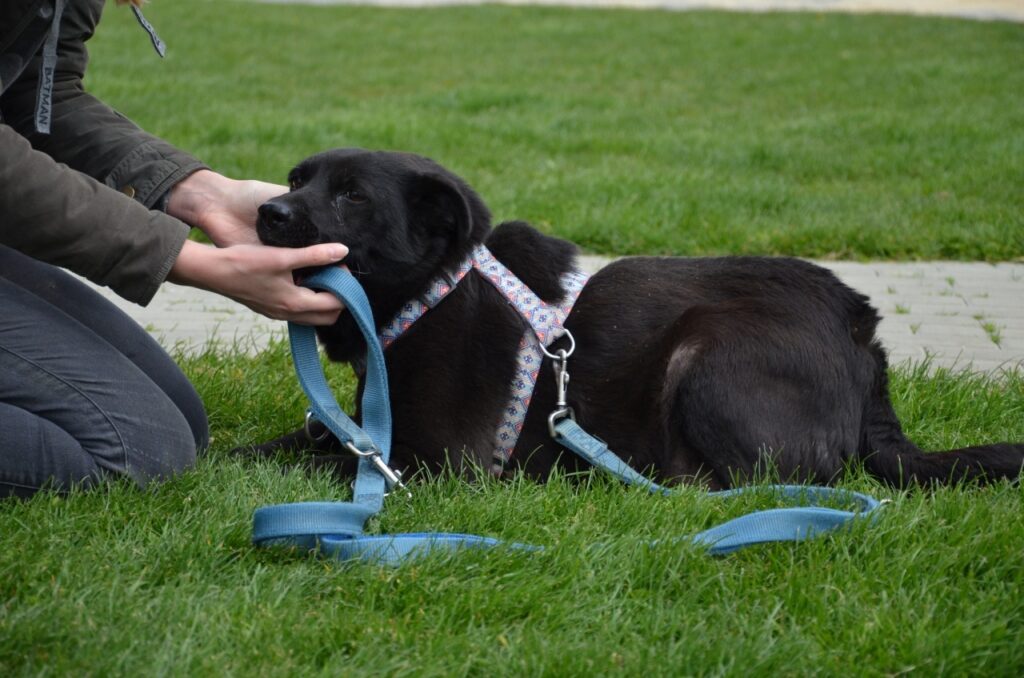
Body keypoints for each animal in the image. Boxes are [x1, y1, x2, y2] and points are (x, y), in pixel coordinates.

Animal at [245, 150, 1024, 489]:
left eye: (352, 196)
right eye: (297, 179)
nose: (266, 213)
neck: (430, 292)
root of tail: (863, 332)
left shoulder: (438, 462)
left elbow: (323, 457)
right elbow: (285, 445)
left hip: (707, 355)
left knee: (780, 483)